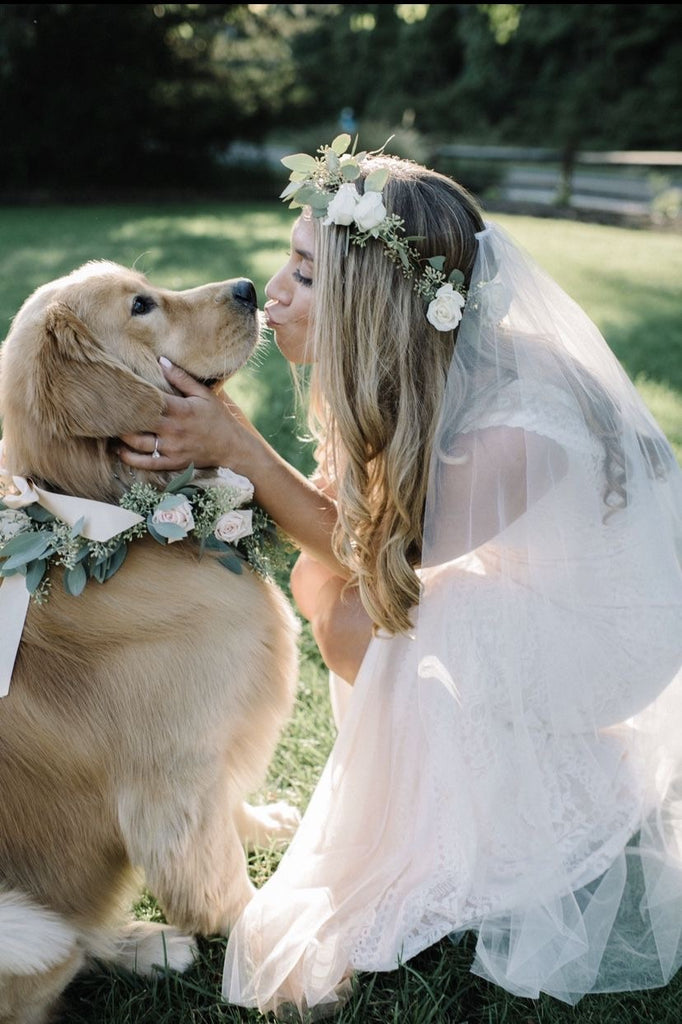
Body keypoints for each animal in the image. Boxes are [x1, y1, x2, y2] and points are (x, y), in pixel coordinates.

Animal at [0, 260, 301, 1019]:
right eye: (141, 306)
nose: (249, 288)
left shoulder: (204, 760)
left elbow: (229, 810)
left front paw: (266, 822)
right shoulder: (171, 783)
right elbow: (219, 879)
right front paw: (276, 962)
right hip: (17, 931)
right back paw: (148, 944)